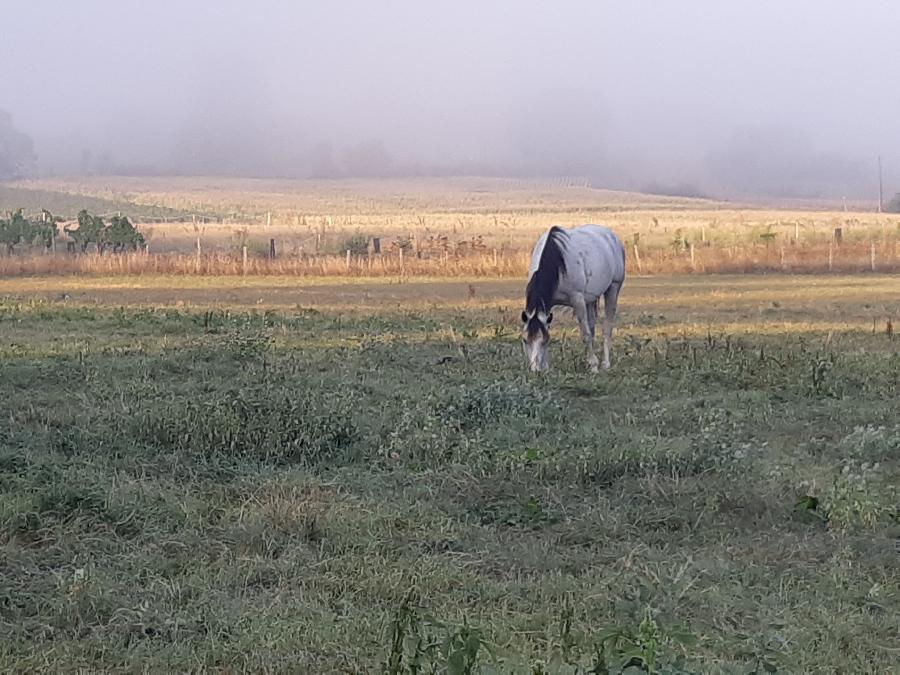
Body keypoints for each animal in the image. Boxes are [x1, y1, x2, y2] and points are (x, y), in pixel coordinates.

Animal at [520, 227, 624, 374]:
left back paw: (605, 363)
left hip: (613, 288)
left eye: (544, 340)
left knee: (607, 327)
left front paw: (594, 366)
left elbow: (585, 335)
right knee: (592, 326)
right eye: (525, 340)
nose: (535, 370)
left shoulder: (577, 300)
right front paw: (545, 366)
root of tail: (612, 236)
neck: (557, 262)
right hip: (590, 299)